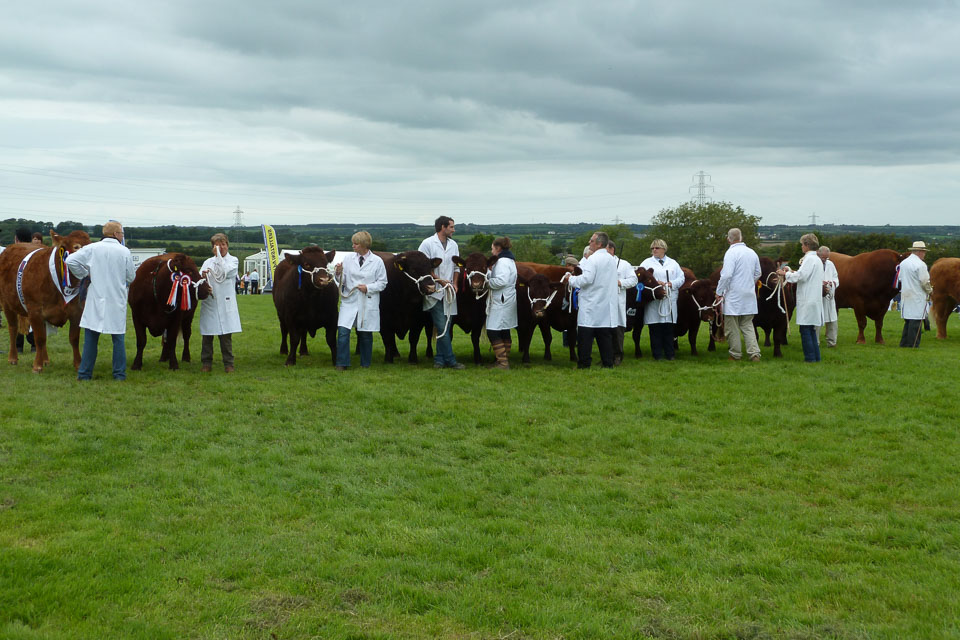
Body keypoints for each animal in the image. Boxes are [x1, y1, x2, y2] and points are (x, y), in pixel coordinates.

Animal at [0, 230, 90, 372]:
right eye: (76, 247)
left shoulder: (76, 311)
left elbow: (74, 338)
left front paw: (78, 364)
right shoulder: (35, 312)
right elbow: (39, 339)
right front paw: (37, 365)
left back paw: (45, 359)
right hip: (7, 304)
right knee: (13, 329)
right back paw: (13, 358)